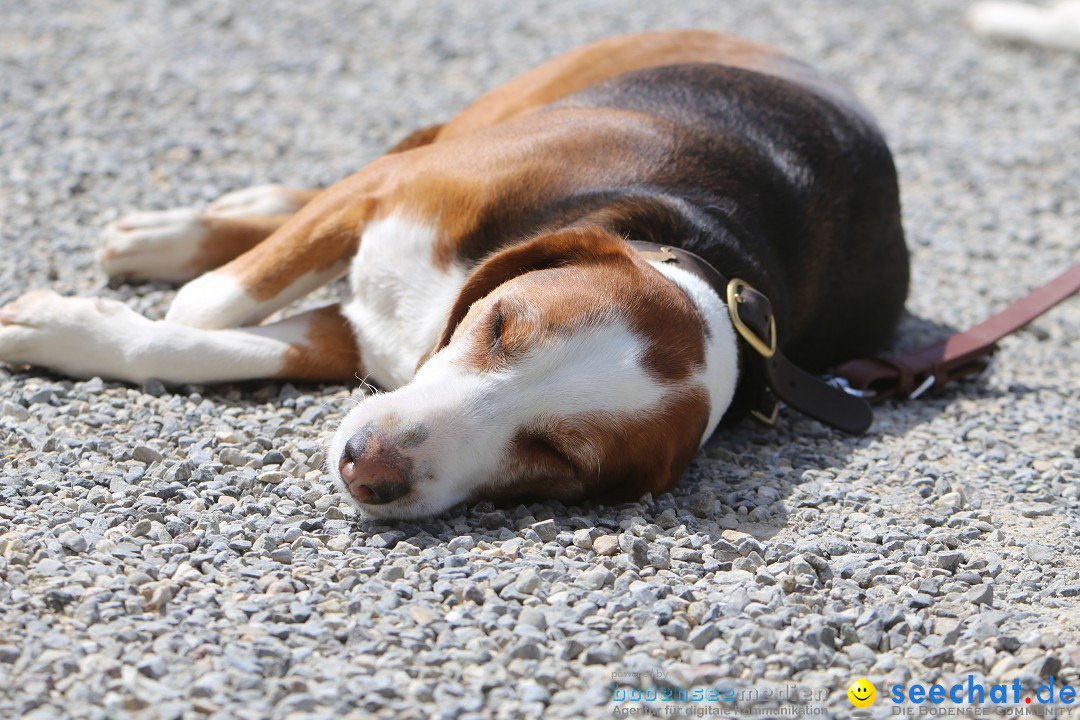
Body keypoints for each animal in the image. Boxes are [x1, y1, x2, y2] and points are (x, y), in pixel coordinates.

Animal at [0, 32, 911, 518]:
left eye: (556, 454)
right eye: (504, 327)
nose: (368, 466)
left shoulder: (365, 343)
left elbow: (209, 342)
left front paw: (68, 329)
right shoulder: (392, 193)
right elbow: (210, 306)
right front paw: (94, 313)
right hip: (480, 117)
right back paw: (176, 234)